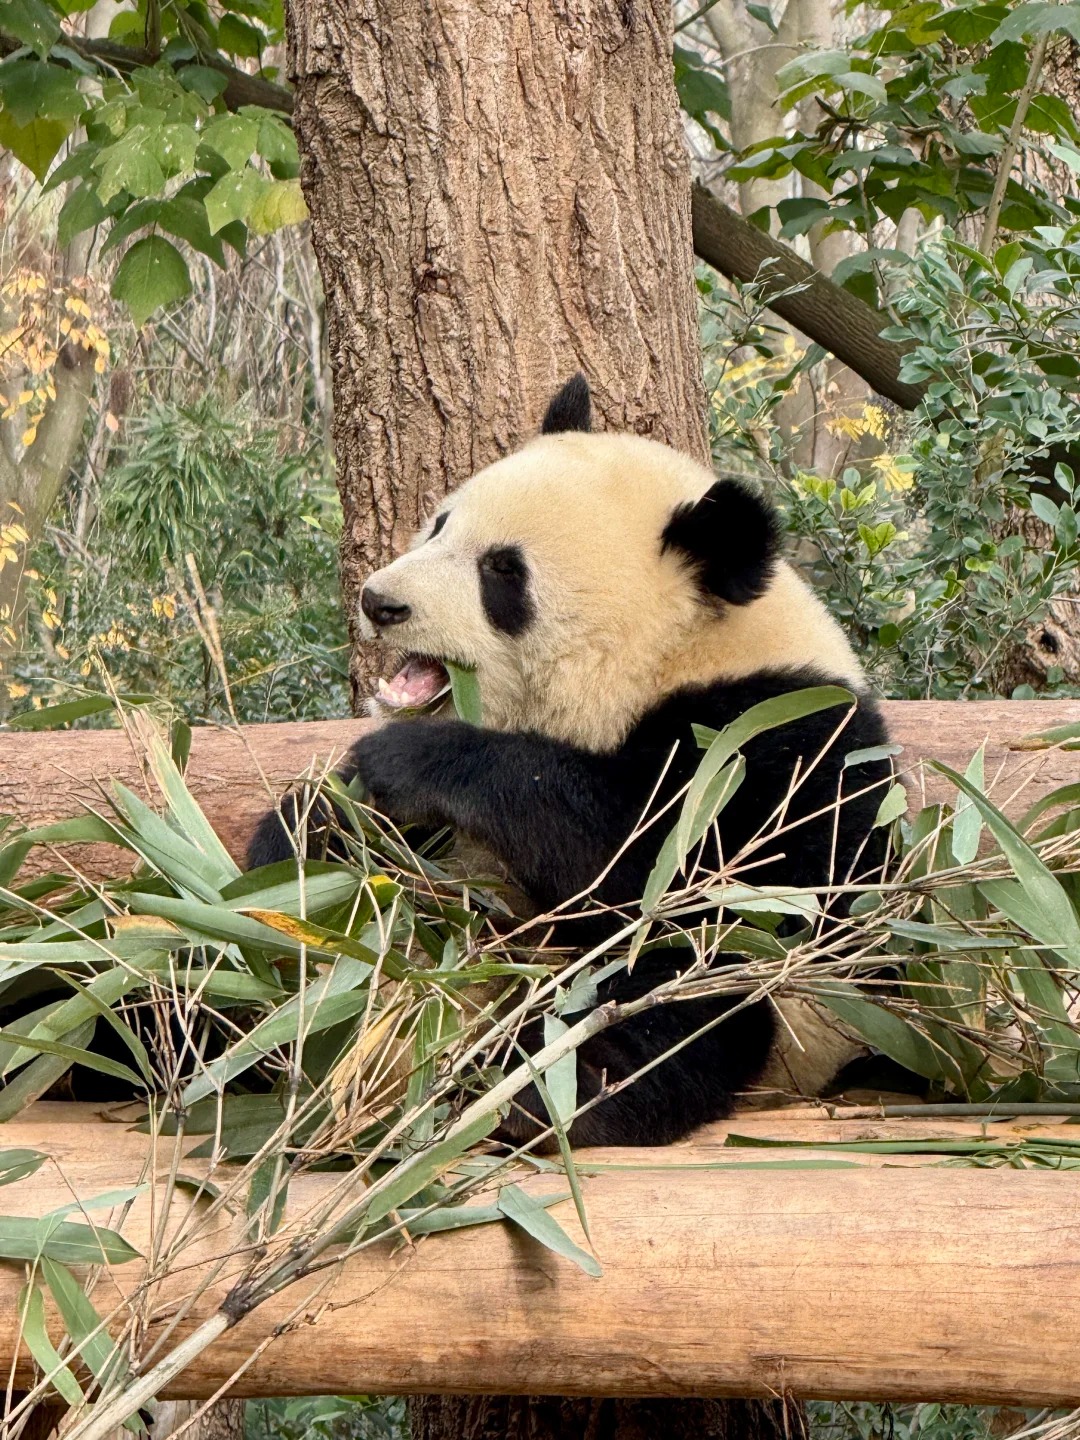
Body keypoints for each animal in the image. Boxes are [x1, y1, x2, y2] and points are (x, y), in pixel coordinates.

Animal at [249, 375, 892, 1148]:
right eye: (439, 526)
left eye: (503, 572)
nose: (381, 602)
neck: (677, 655)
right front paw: (313, 830)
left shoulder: (777, 737)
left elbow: (655, 866)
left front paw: (408, 761)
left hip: (792, 1015)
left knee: (686, 993)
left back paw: (542, 1084)